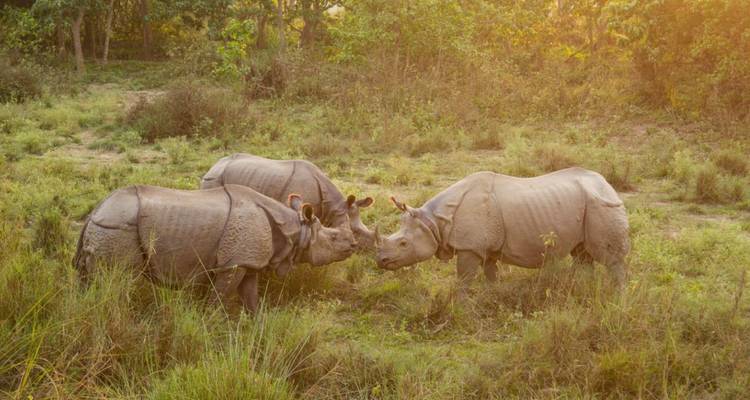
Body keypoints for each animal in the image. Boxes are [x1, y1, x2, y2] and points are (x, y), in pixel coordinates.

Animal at [73, 184, 356, 312]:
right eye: (332, 238)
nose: (353, 245)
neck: (295, 229)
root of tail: (95, 212)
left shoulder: (247, 262)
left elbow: (251, 298)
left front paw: (257, 325)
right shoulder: (233, 264)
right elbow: (218, 299)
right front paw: (207, 325)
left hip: (106, 227)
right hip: (116, 228)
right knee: (117, 280)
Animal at [375, 168, 630, 288]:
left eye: (403, 243)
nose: (381, 261)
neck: (434, 222)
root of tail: (607, 184)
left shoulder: (470, 247)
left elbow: (464, 279)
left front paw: (460, 306)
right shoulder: (487, 248)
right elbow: (491, 275)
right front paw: (493, 295)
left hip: (601, 204)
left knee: (610, 259)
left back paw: (619, 299)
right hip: (586, 204)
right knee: (582, 254)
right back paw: (583, 291)